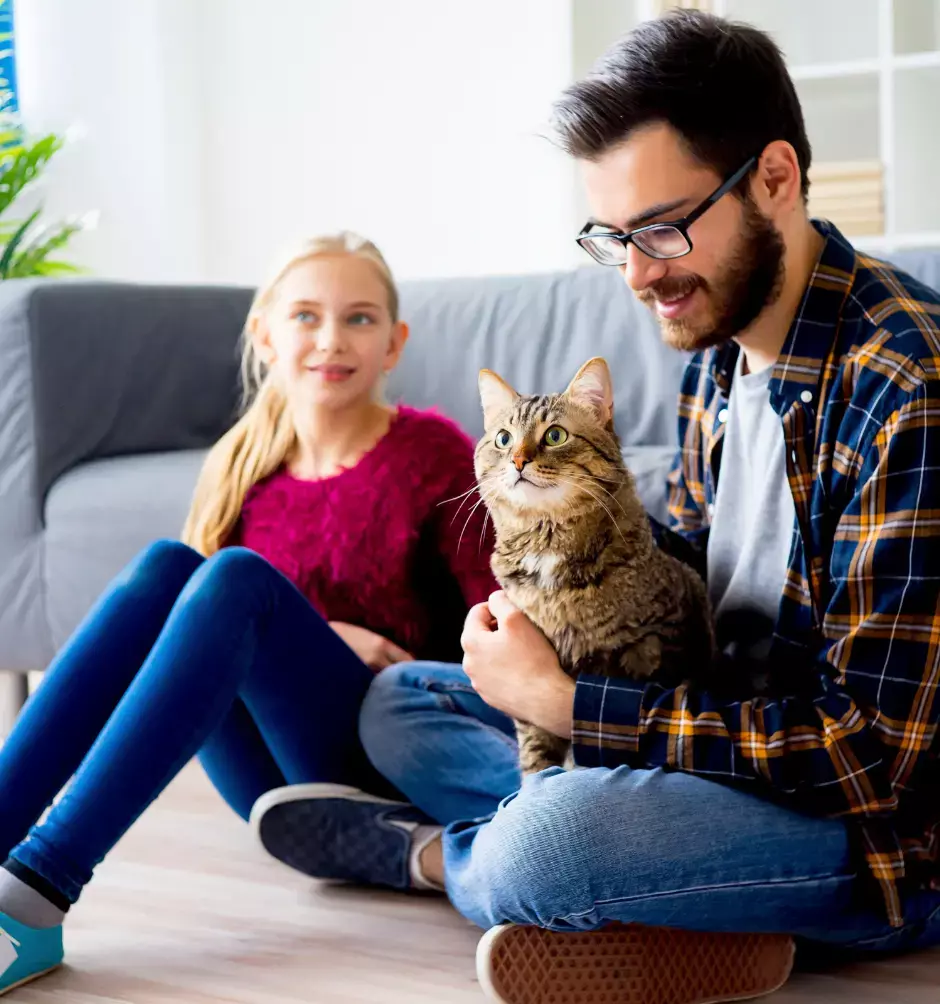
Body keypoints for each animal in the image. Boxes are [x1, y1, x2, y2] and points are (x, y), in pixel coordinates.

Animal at [478, 357, 711, 771]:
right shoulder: (531, 720)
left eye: (555, 436)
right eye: (503, 439)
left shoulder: (661, 640)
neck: (548, 547)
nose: (519, 460)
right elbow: (536, 756)